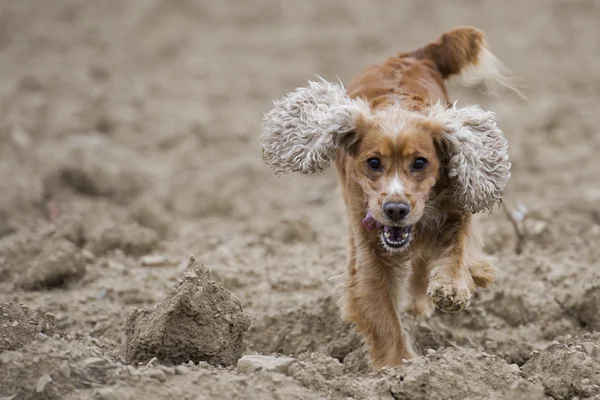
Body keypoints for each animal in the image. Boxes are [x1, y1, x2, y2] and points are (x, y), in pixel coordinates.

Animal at [260, 26, 512, 368]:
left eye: (420, 162)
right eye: (373, 162)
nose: (395, 209)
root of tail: (412, 55)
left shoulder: (455, 209)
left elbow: (458, 248)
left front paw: (451, 287)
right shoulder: (369, 248)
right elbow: (384, 317)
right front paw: (399, 367)